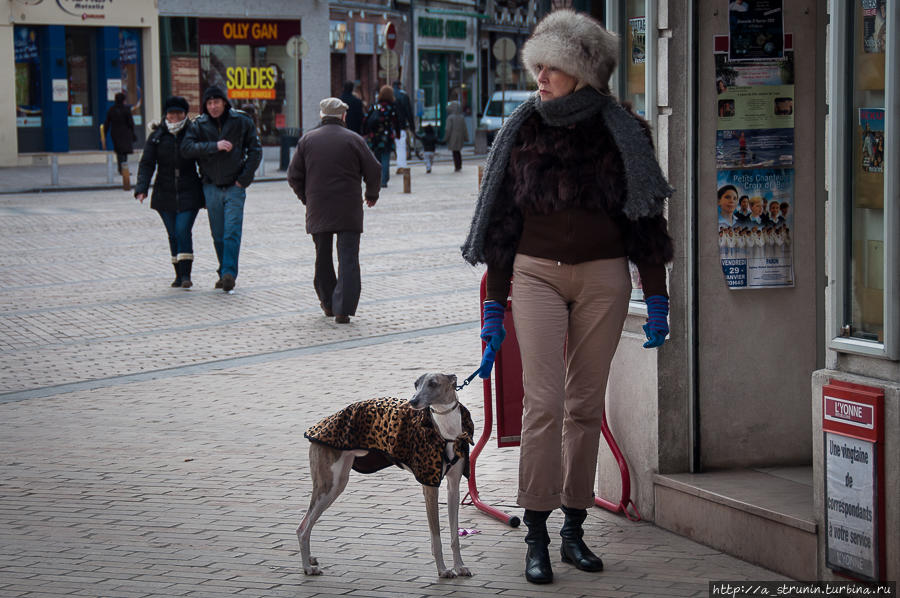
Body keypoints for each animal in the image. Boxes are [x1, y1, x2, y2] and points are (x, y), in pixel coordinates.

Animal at [298, 376, 474, 580]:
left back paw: (310, 559)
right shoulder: (430, 486)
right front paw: (443, 570)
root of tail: (316, 428)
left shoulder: (453, 487)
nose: (413, 401)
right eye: (416, 384)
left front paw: (460, 566)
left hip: (336, 483)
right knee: (302, 528)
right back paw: (307, 568)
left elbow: (454, 536)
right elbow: (436, 537)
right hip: (328, 486)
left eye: (433, 383)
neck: (446, 429)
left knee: (307, 524)